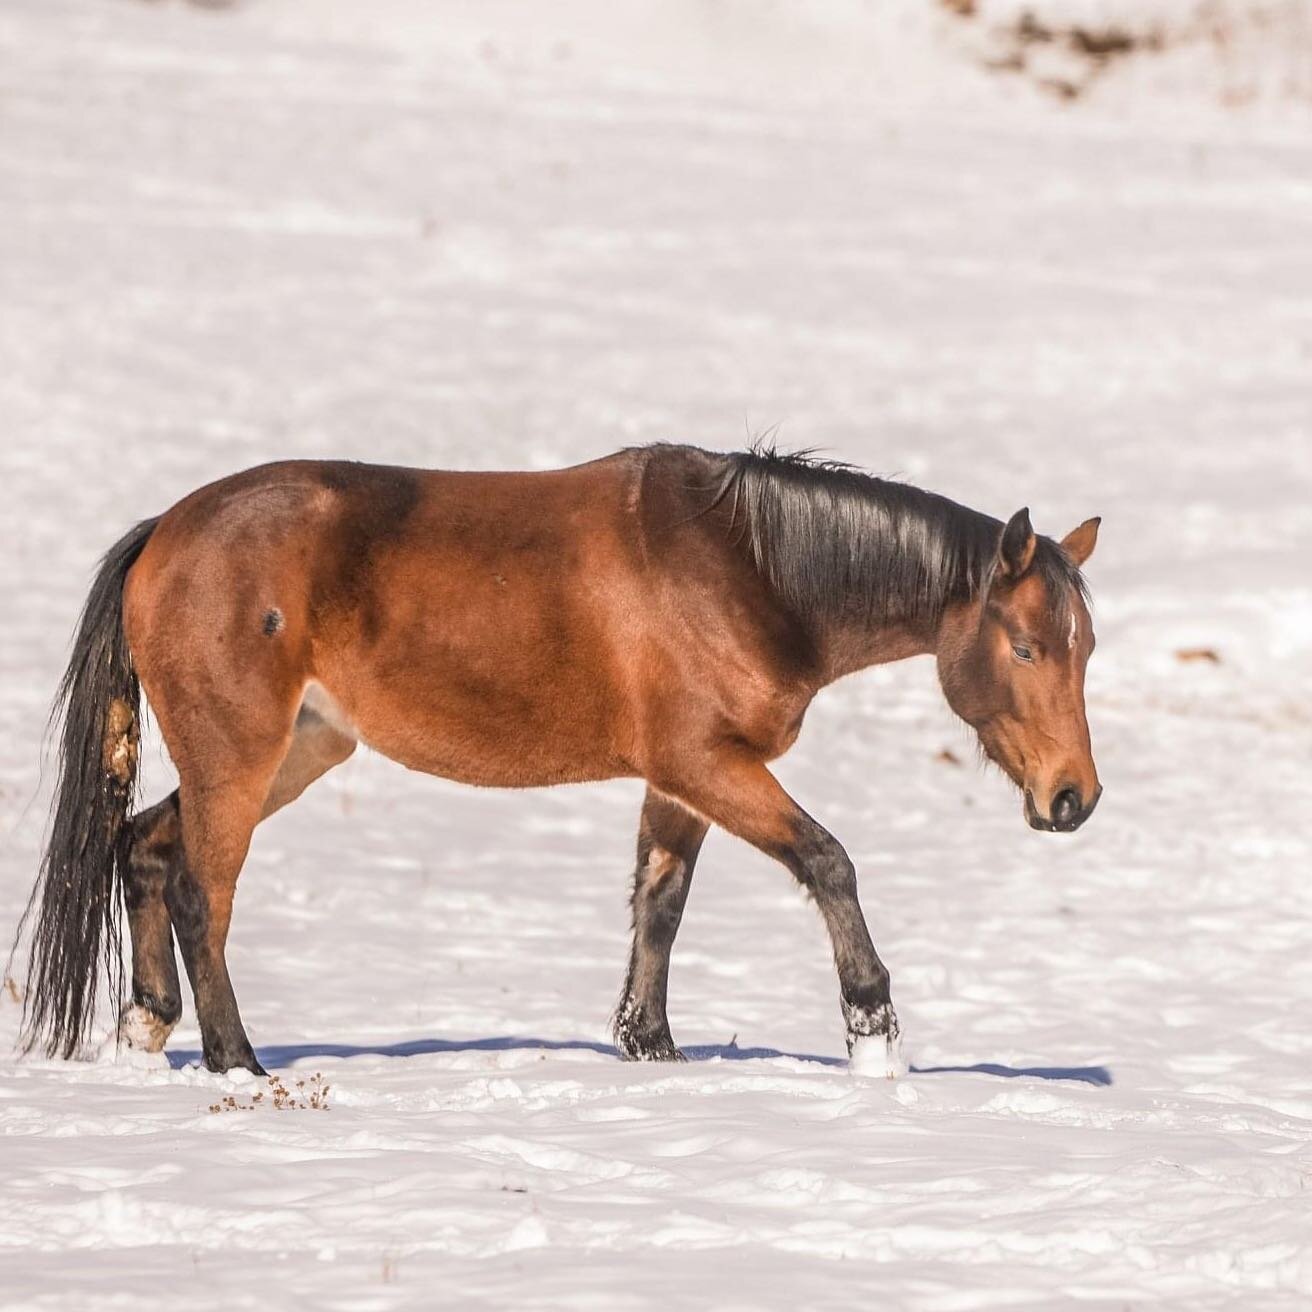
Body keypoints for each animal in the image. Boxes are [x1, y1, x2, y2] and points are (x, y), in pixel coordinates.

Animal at [15, 443, 1096, 1075]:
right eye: (1026, 647)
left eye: (1085, 646)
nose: (1072, 798)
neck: (745, 569)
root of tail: (167, 532)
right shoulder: (709, 762)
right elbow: (828, 861)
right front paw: (872, 1029)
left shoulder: (681, 778)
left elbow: (660, 900)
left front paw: (649, 1045)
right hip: (240, 755)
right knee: (202, 892)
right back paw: (237, 1059)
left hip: (295, 748)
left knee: (145, 848)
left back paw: (146, 1023)